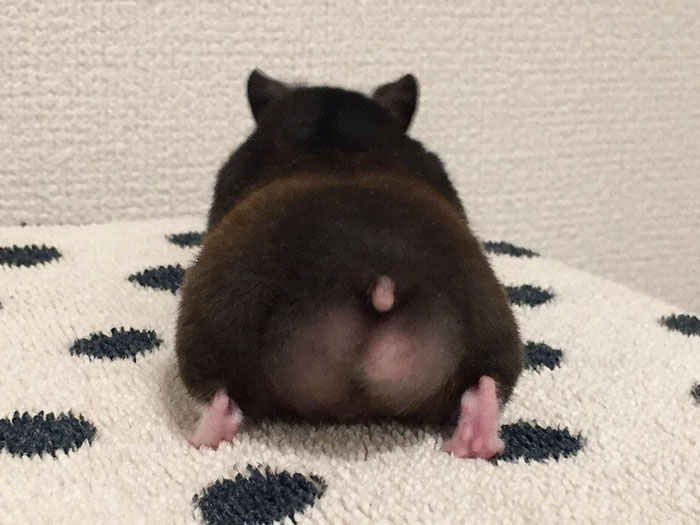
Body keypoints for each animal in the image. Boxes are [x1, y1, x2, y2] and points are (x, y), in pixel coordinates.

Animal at [174, 70, 524, 459]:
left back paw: (202, 435)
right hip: (493, 329)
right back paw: (471, 440)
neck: (334, 132)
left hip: (210, 328)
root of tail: (379, 284)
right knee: (485, 390)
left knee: (218, 397)